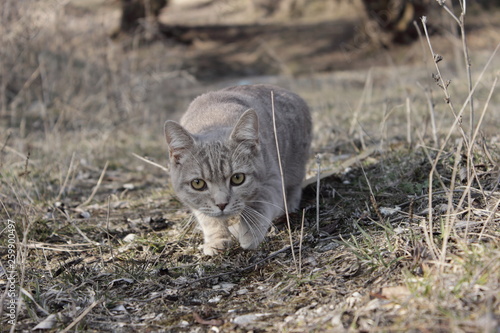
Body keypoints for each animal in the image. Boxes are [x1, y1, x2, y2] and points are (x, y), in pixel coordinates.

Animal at [164, 83, 312, 254]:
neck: (213, 119)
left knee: (294, 188)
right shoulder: (194, 202)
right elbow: (208, 218)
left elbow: (260, 204)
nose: (221, 204)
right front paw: (217, 239)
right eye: (198, 183)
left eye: (237, 178)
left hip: (294, 164)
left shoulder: (272, 179)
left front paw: (248, 232)